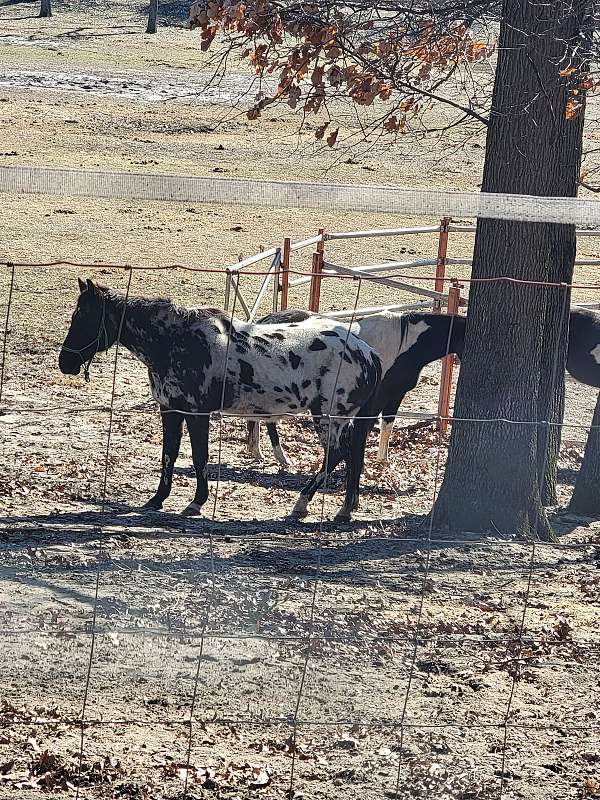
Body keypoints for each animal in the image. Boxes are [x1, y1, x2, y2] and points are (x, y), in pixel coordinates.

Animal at [58, 278, 382, 520]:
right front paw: (157, 499)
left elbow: (199, 456)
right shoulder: (170, 410)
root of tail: (367, 352)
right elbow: (169, 454)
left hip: (328, 418)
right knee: (350, 454)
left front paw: (196, 502)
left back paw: (301, 504)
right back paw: (344, 509)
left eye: (84, 318)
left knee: (335, 455)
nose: (65, 363)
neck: (176, 340)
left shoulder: (197, 414)